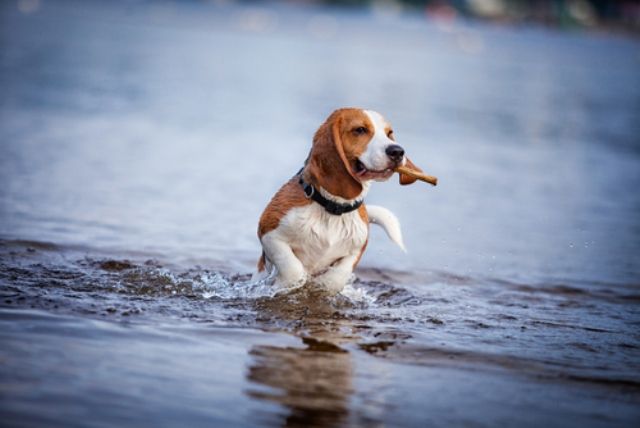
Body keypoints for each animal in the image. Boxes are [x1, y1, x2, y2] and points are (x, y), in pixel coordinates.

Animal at [255, 108, 424, 292]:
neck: (333, 207)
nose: (397, 151)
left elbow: (337, 277)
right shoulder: (269, 232)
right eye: (360, 130)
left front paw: (322, 285)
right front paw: (285, 285)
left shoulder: (357, 249)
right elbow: (293, 268)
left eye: (389, 133)